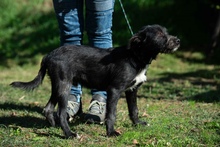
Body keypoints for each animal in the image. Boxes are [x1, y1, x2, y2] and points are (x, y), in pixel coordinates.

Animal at [9, 24, 180, 139]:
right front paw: (111, 132)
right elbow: (111, 114)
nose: (178, 40)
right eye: (159, 35)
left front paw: (138, 124)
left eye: (166, 32)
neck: (135, 56)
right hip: (64, 86)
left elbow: (134, 110)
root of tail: (48, 55)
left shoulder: (132, 90)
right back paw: (69, 134)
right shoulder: (114, 90)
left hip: (57, 85)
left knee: (48, 108)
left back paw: (54, 126)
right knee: (61, 113)